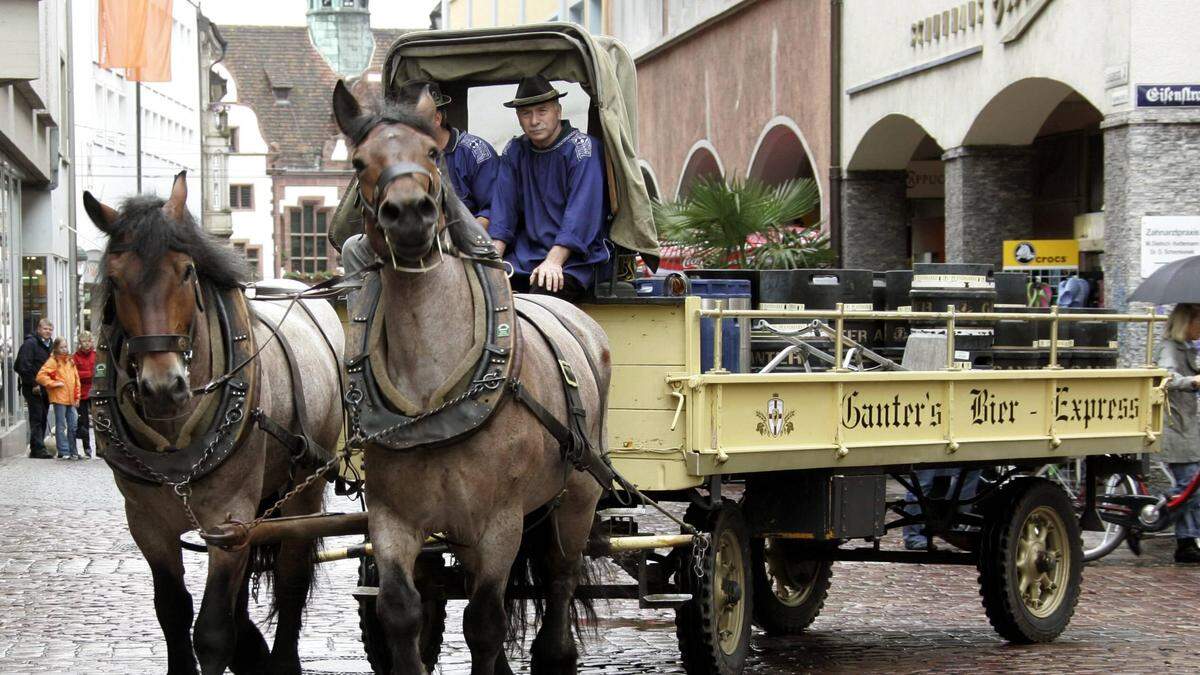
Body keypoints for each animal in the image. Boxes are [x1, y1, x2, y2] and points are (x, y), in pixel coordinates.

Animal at [82, 174, 345, 672]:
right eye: (114, 279)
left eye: (187, 271)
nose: (163, 387)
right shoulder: (147, 524)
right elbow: (173, 611)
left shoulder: (229, 516)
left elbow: (212, 632)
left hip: (304, 488)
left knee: (291, 577)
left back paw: (282, 657)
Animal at [328, 78, 609, 667]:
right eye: (360, 161)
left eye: (432, 154)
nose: (409, 213)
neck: (431, 394)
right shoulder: (392, 518)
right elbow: (400, 610)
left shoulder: (500, 521)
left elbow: (483, 622)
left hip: (576, 494)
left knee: (560, 577)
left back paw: (556, 650)